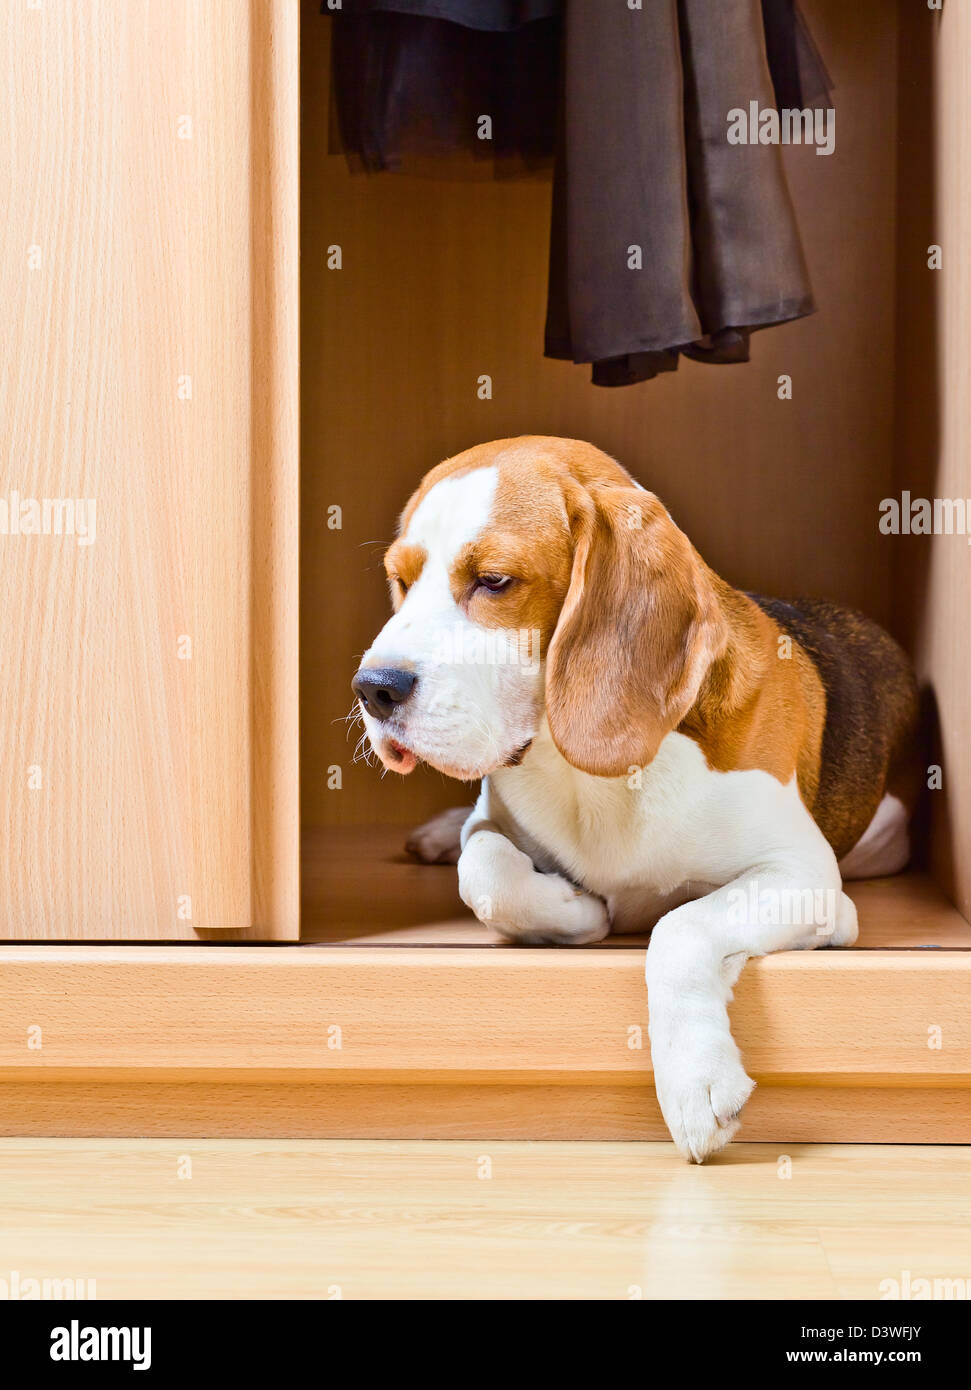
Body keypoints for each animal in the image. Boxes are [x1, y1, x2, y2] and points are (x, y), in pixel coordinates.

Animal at [351, 436, 916, 1162]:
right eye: (400, 580)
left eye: (495, 580)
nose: (372, 689)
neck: (589, 776)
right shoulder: (493, 826)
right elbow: (486, 875)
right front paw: (572, 910)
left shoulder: (804, 874)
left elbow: (679, 925)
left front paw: (694, 1077)